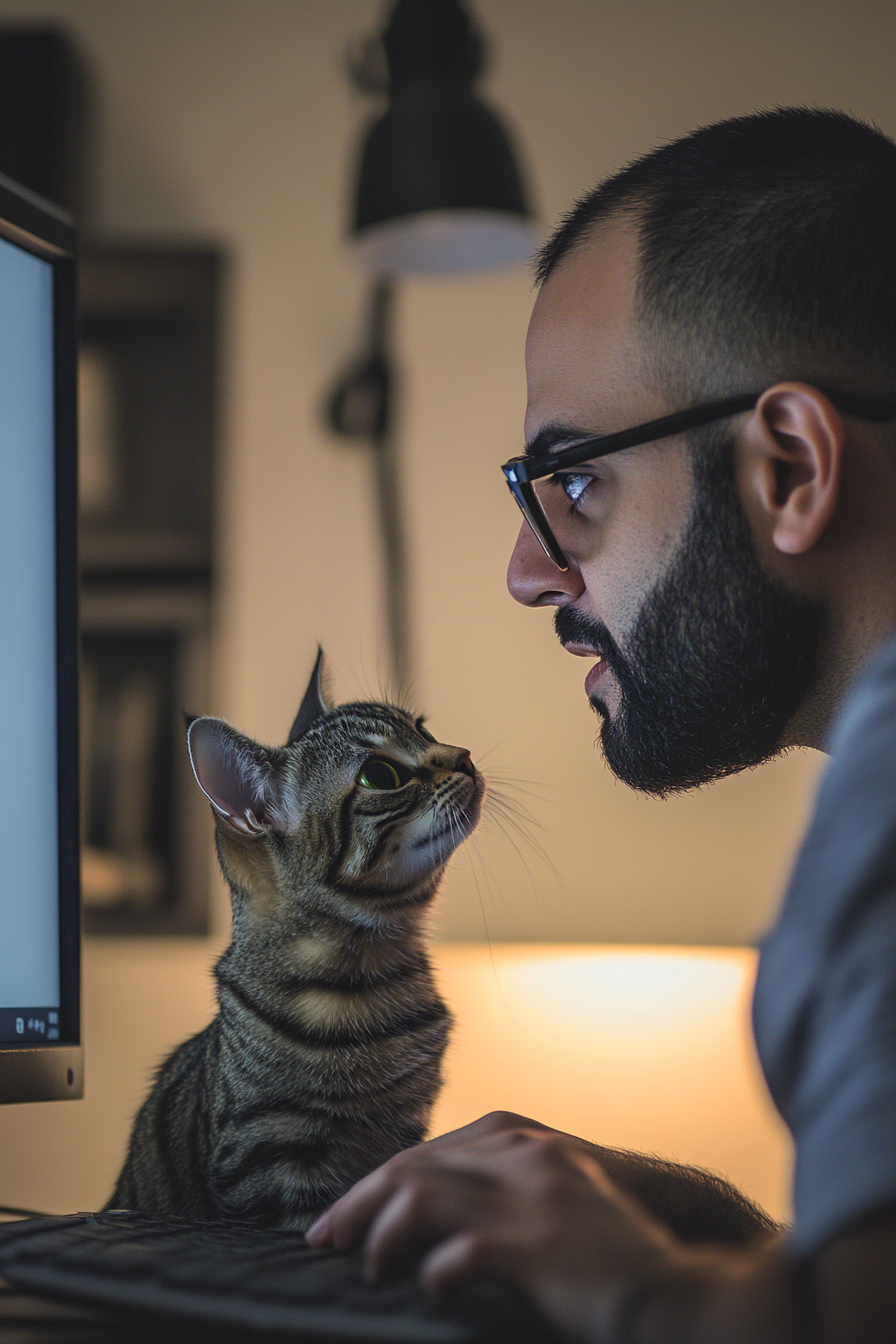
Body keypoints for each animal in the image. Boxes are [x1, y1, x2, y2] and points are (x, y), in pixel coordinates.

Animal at [109, 650, 486, 1231]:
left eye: (423, 729)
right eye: (381, 775)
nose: (464, 755)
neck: (365, 979)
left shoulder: (403, 1136)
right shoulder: (270, 1162)